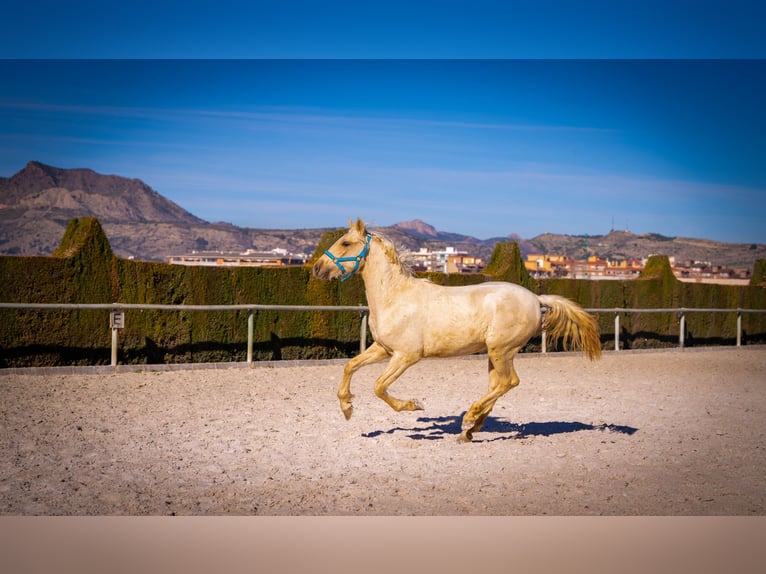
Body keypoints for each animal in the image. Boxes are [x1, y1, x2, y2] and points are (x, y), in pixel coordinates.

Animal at [312, 218, 600, 444]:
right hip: (496, 353)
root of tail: (536, 299)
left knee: (509, 382)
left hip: (502, 349)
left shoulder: (406, 356)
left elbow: (379, 387)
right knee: (498, 385)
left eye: (345, 243)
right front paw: (347, 407)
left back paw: (469, 420)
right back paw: (470, 428)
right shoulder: (383, 349)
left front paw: (413, 405)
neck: (395, 297)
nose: (317, 268)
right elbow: (350, 366)